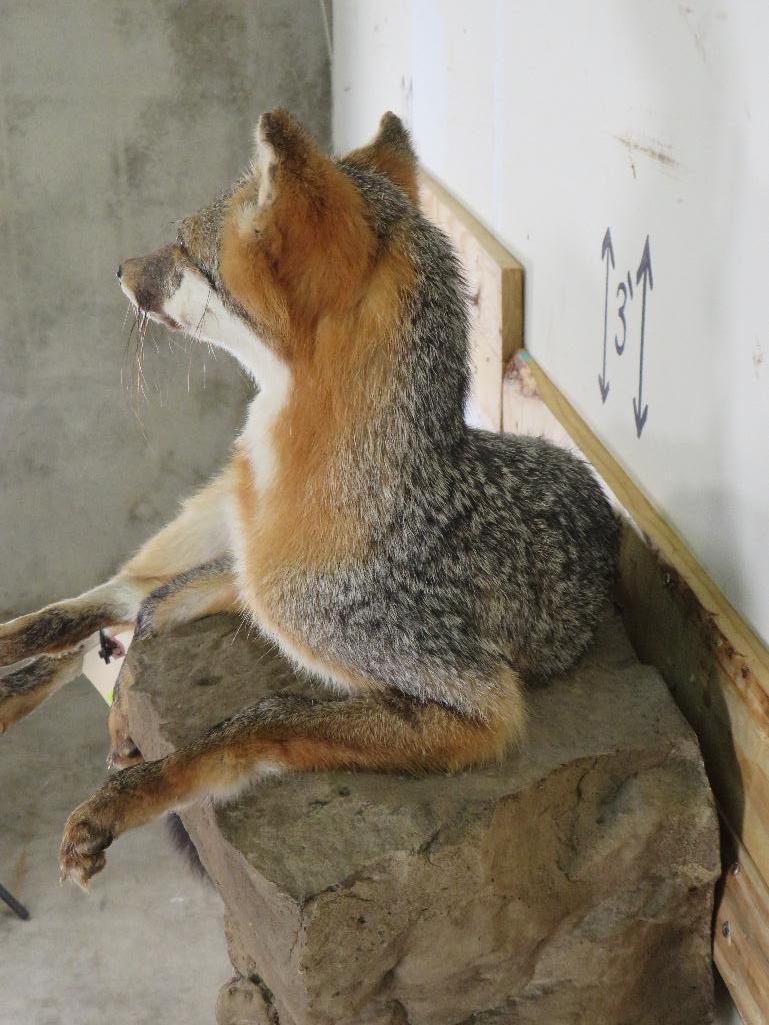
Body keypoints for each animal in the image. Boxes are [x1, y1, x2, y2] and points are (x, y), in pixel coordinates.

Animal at [0, 108, 619, 885]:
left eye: (181, 248)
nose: (116, 270)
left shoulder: (474, 702)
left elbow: (264, 709)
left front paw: (127, 791)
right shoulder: (250, 576)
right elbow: (147, 617)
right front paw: (122, 730)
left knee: (112, 614)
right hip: (201, 523)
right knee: (109, 596)